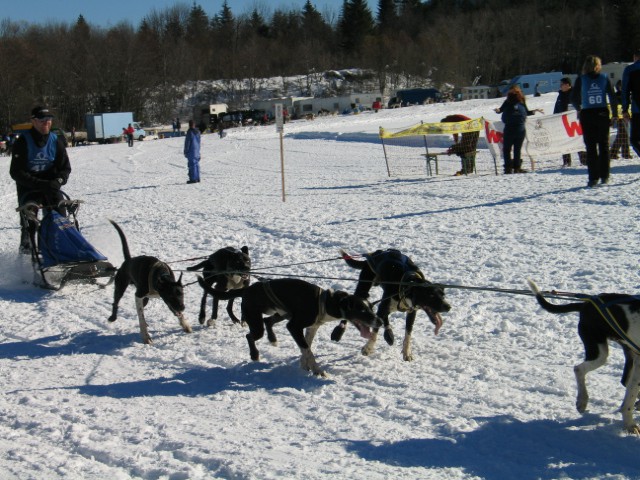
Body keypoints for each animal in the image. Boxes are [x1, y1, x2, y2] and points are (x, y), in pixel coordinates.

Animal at [198, 276, 382, 376]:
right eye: (362, 310)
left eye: (371, 308)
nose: (380, 321)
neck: (325, 302)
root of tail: (247, 289)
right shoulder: (294, 326)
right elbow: (307, 350)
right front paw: (317, 371)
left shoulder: (311, 327)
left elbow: (307, 347)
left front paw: (305, 365)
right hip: (258, 322)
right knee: (250, 335)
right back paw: (255, 354)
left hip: (282, 314)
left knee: (268, 321)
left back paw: (273, 339)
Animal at [528, 280, 640, 434]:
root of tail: (587, 303)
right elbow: (630, 397)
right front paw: (629, 424)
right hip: (599, 352)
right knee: (579, 369)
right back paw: (582, 400)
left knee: (625, 382)